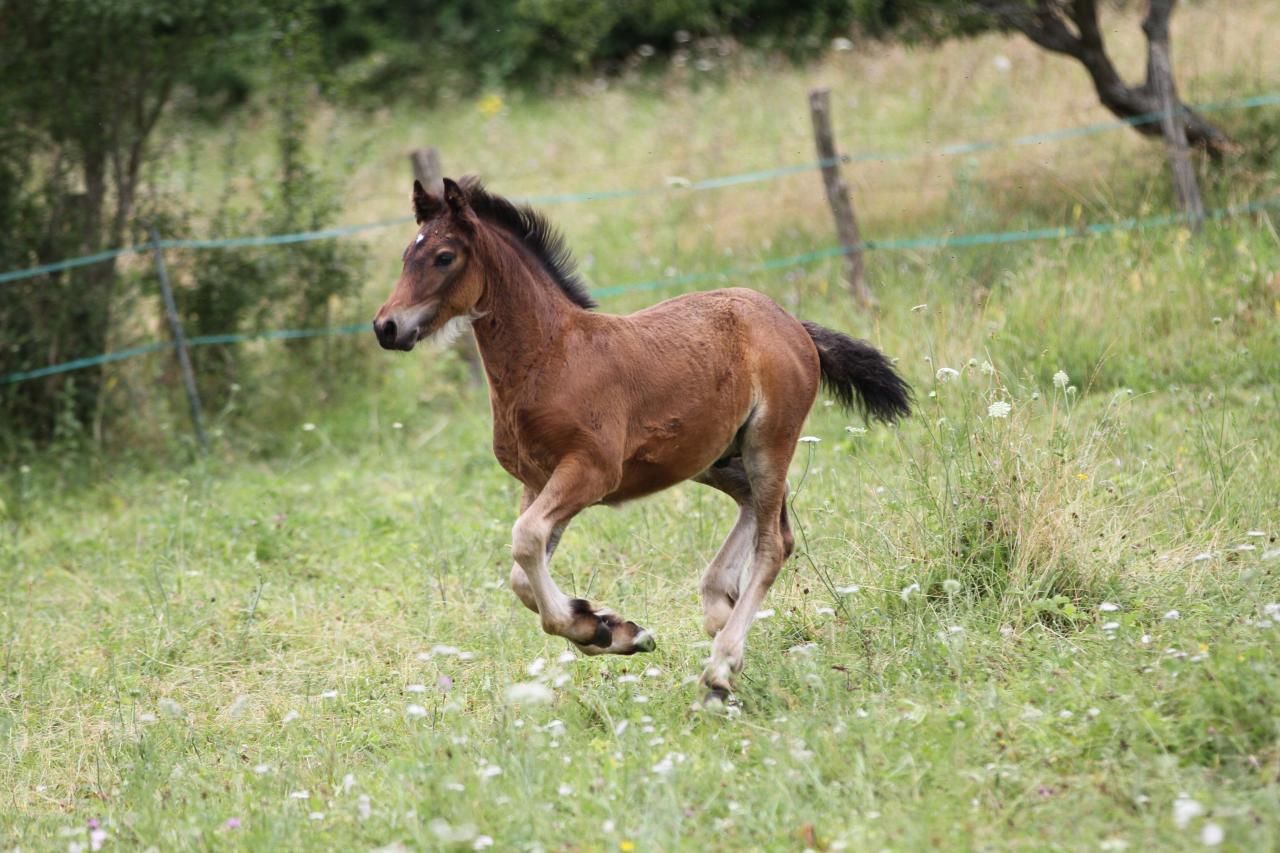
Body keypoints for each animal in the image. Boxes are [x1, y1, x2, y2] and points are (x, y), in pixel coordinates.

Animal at [371, 178, 911, 696]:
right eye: (405, 256)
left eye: (444, 256)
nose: (386, 327)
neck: (550, 357)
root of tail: (789, 321)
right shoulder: (537, 481)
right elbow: (521, 574)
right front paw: (609, 628)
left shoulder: (590, 471)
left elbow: (524, 541)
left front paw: (594, 626)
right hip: (709, 458)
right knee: (764, 513)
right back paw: (718, 605)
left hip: (768, 440)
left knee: (773, 543)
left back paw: (719, 671)